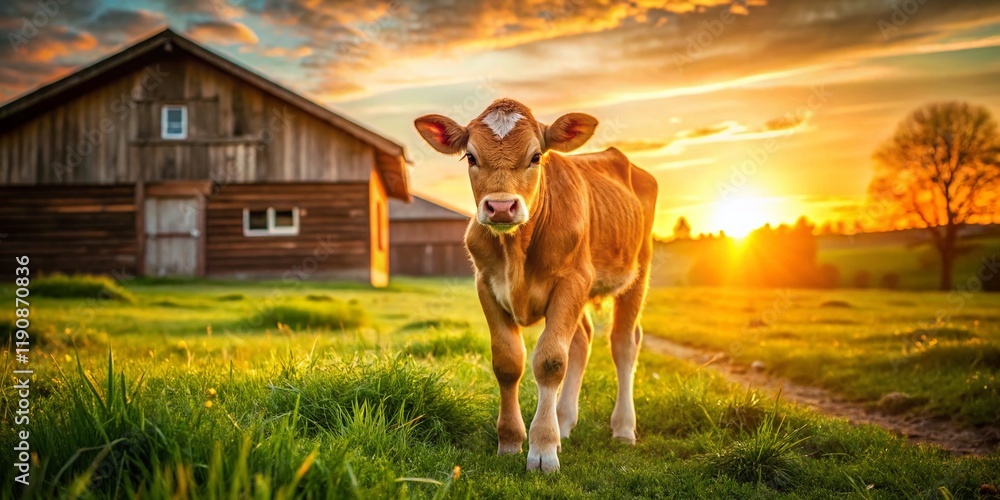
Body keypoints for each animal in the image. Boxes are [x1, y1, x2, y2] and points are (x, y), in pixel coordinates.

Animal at [414, 98, 657, 472]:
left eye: (536, 156)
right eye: (470, 157)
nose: (501, 206)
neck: (516, 250)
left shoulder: (573, 280)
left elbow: (550, 361)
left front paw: (542, 448)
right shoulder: (486, 284)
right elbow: (507, 362)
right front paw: (511, 441)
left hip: (637, 271)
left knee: (623, 343)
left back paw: (623, 428)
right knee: (583, 340)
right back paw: (564, 420)